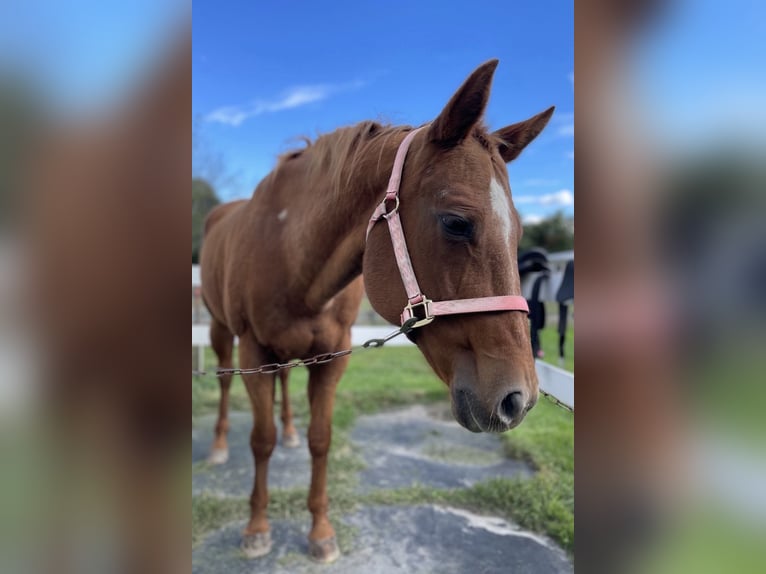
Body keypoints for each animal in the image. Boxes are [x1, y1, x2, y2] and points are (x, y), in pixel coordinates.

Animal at [199, 59, 553, 563]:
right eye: (456, 222)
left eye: (520, 232)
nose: (517, 399)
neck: (291, 256)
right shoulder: (254, 352)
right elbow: (260, 442)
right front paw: (256, 528)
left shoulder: (330, 358)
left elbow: (320, 440)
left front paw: (320, 532)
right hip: (222, 335)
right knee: (227, 383)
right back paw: (217, 445)